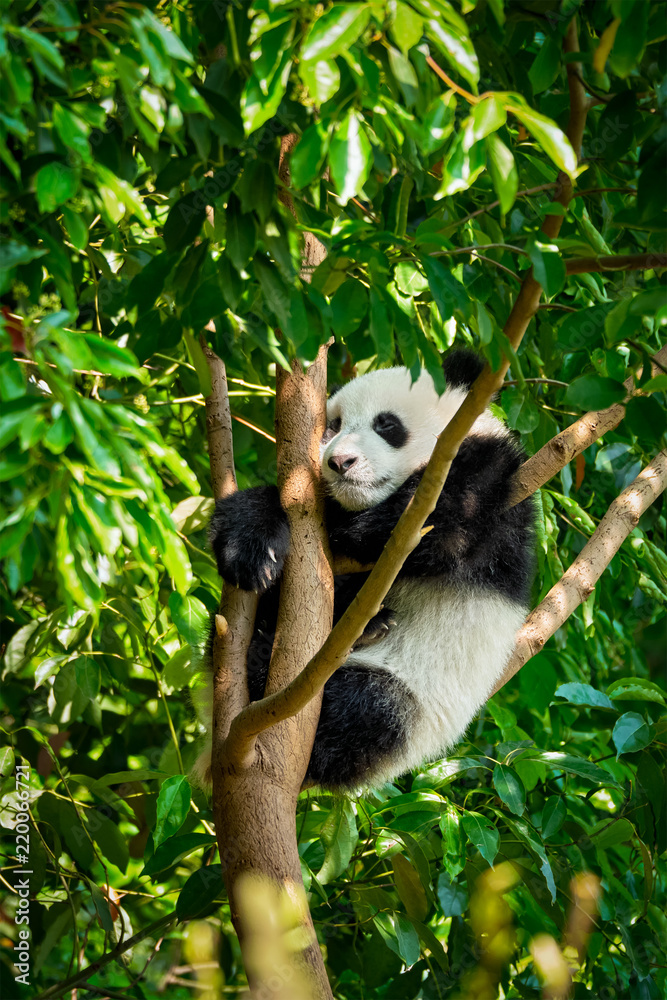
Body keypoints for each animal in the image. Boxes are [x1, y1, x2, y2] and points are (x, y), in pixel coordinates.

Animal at [205, 349, 534, 793]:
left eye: (387, 425)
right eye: (334, 425)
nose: (340, 461)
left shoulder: (497, 497)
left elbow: (436, 522)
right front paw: (248, 544)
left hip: (411, 700)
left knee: (358, 714)